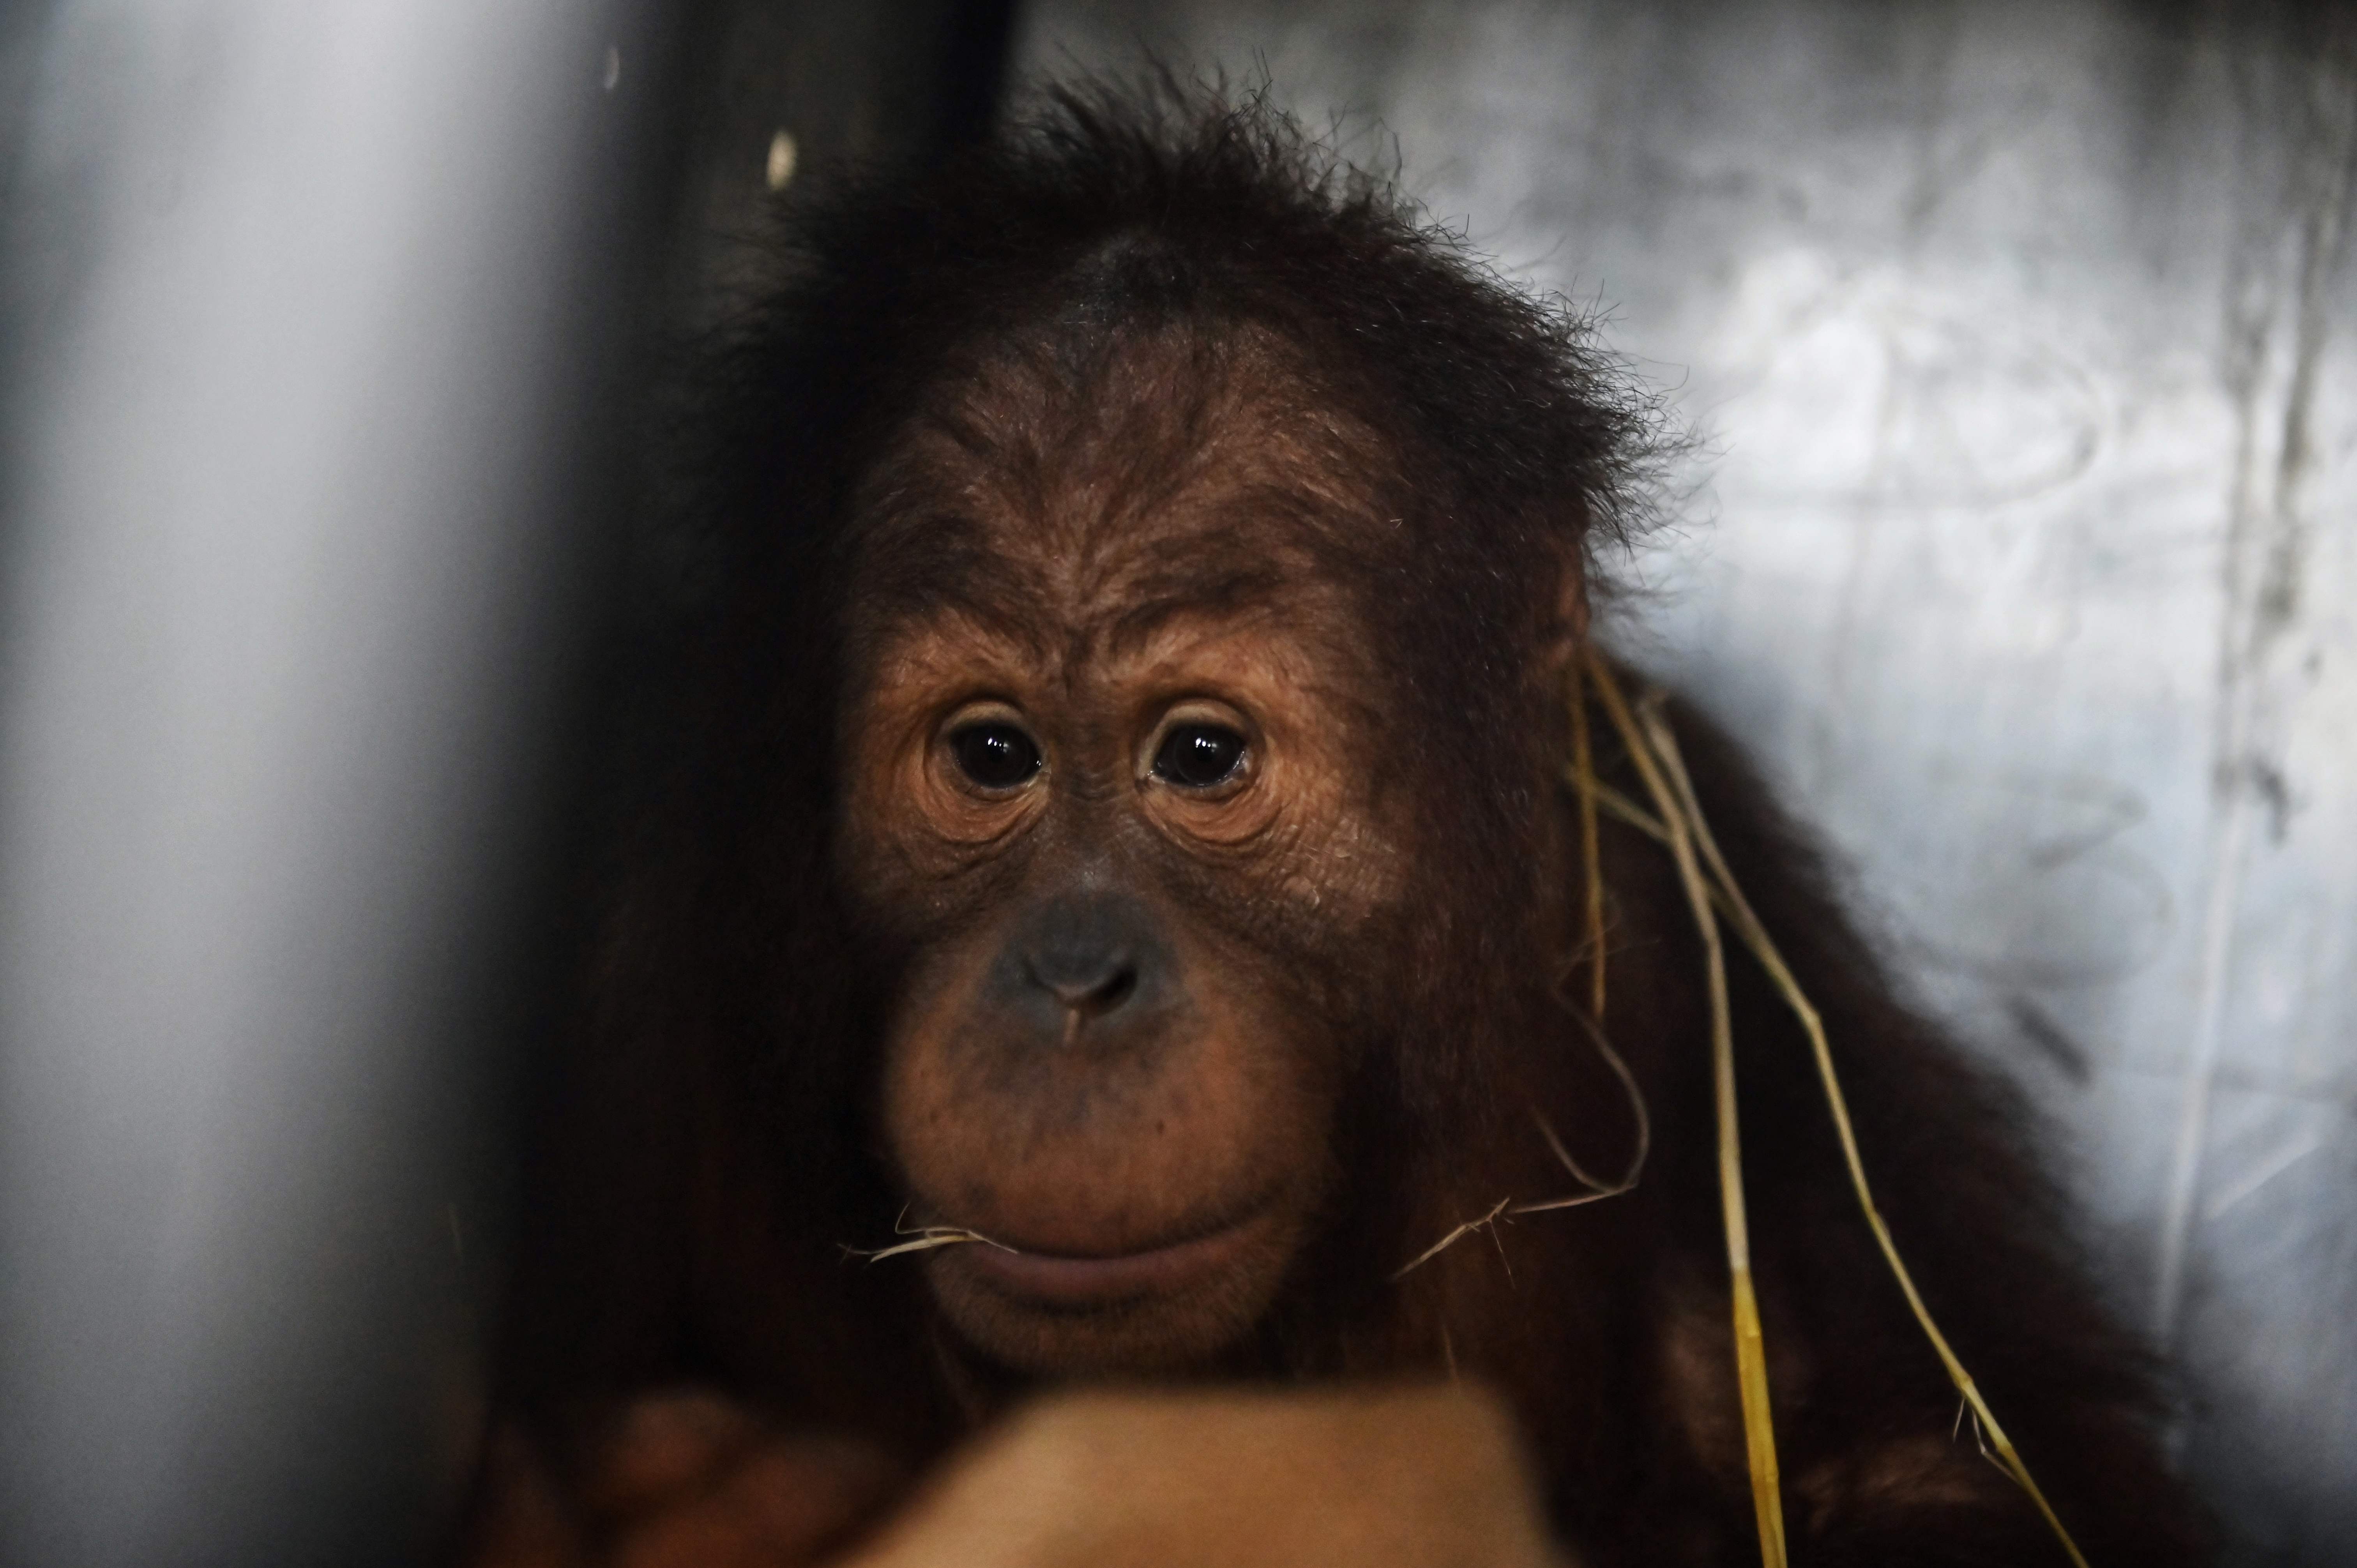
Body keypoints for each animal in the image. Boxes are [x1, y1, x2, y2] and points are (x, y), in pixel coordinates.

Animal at [462, 80, 2211, 1568]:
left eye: (1201, 754)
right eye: (989, 753)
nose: (1078, 980)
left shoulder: (1689, 905)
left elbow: (1920, 1467)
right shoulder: (618, 889)